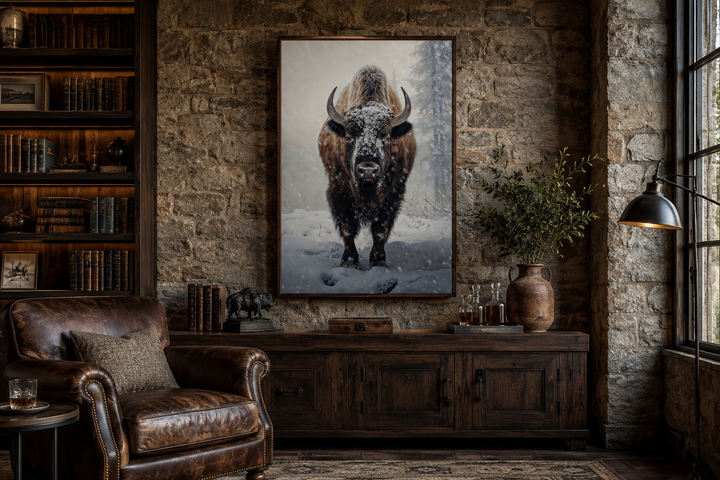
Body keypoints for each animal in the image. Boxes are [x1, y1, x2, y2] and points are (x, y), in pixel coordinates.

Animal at [318, 65, 417, 269]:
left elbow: (380, 228)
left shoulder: (393, 193)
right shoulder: (339, 190)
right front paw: (349, 262)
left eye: (387, 137)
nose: (368, 170)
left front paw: (378, 261)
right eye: (349, 137)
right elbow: (347, 226)